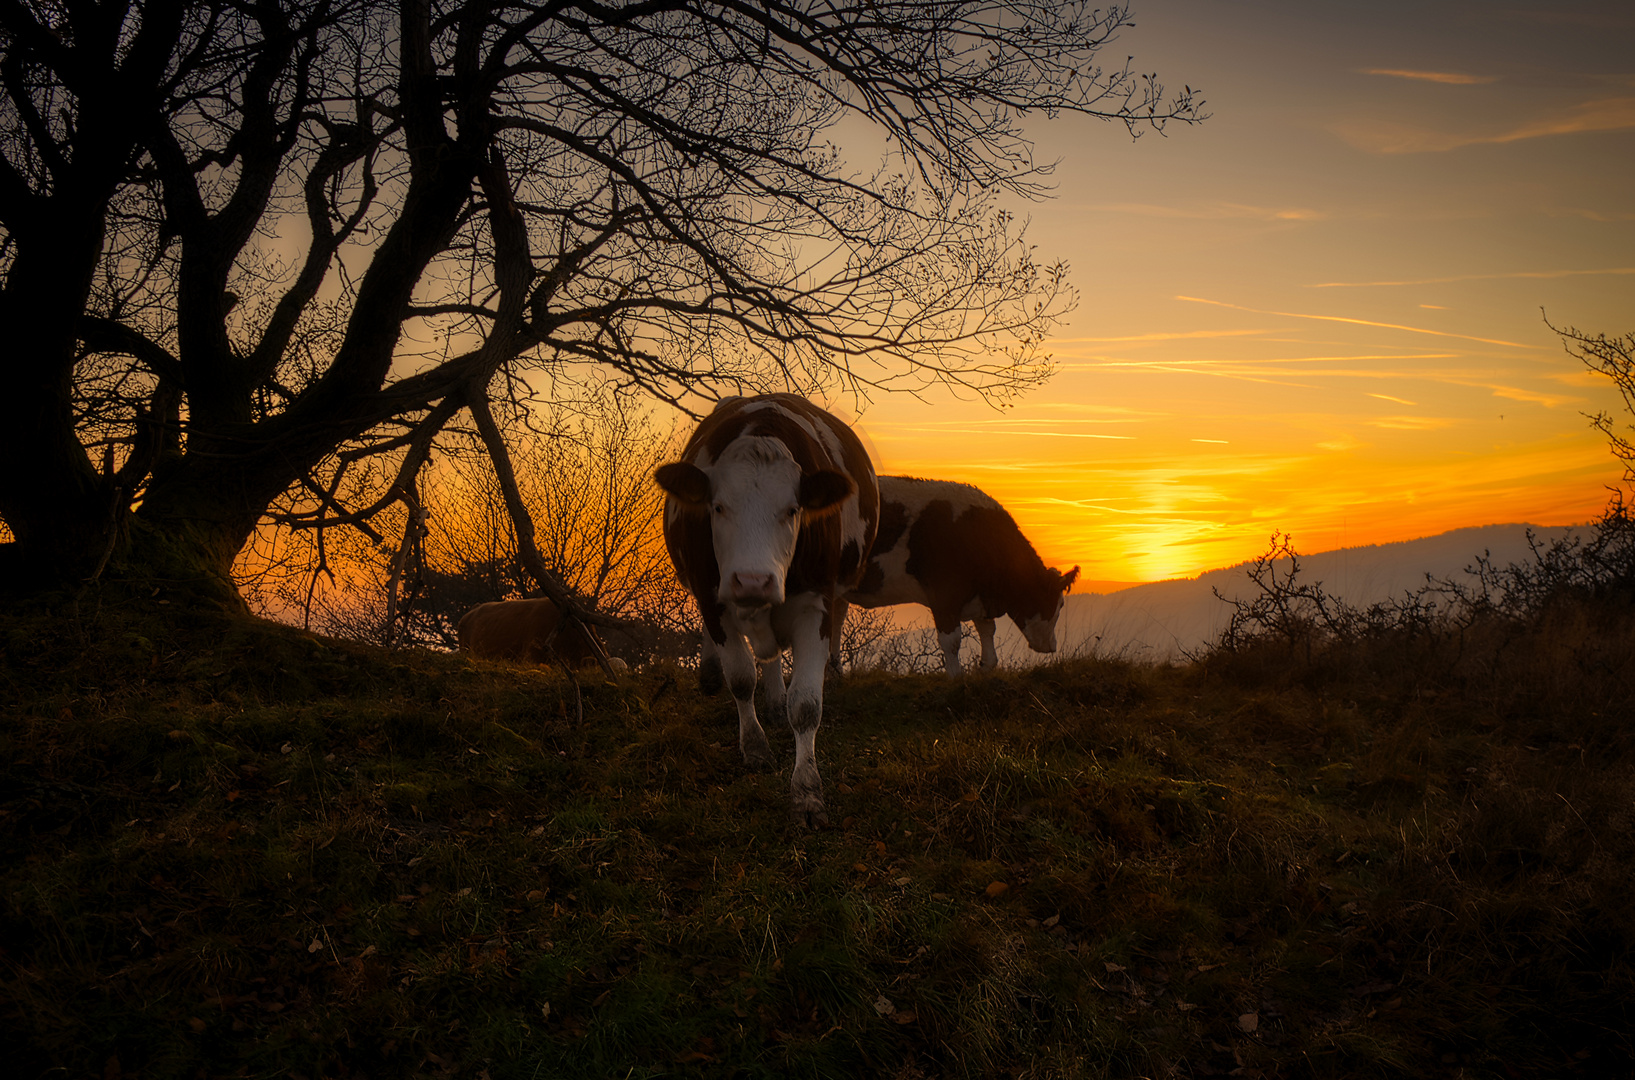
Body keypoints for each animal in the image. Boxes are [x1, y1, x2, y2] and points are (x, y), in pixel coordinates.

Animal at [654, 395, 882, 826]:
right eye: (718, 507)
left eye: (793, 510)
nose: (753, 580)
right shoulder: (712, 597)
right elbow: (742, 677)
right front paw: (755, 747)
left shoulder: (816, 605)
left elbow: (806, 705)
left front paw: (807, 792)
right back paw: (712, 674)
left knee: (778, 653)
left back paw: (779, 701)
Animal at [837, 473, 1079, 673]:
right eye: (1059, 605)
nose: (1052, 646)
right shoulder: (944, 594)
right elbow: (951, 641)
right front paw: (956, 679)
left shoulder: (980, 598)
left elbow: (987, 632)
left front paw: (984, 668)